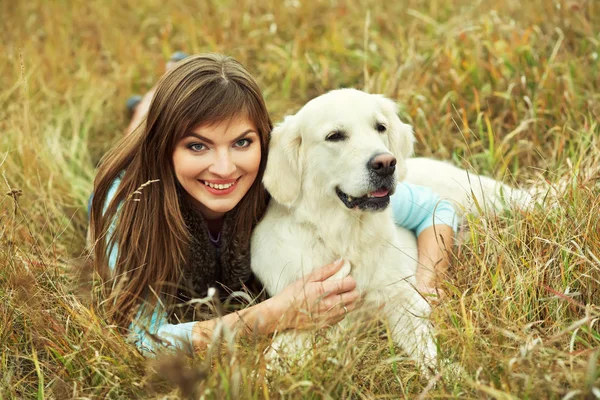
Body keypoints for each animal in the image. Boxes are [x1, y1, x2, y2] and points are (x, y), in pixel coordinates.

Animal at [251, 89, 532, 370]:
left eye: (380, 127)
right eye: (334, 136)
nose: (386, 163)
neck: (345, 238)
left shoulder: (404, 301)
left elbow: (430, 352)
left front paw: (451, 373)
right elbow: (274, 357)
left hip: (480, 197)